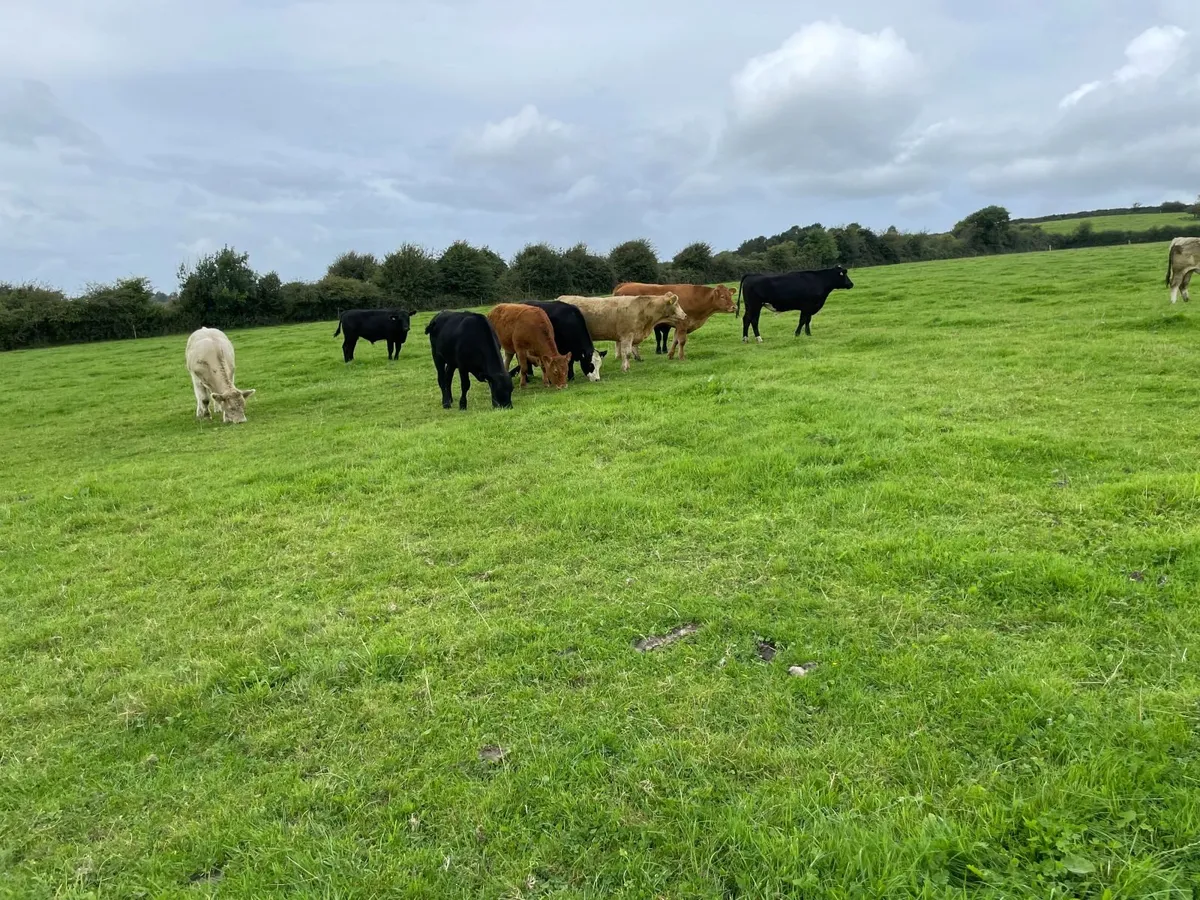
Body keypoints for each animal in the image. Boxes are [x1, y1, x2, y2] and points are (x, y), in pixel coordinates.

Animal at [558, 292, 687, 372]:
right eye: (676, 304)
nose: (685, 315)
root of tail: (561, 298)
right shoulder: (627, 336)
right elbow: (627, 353)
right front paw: (625, 368)